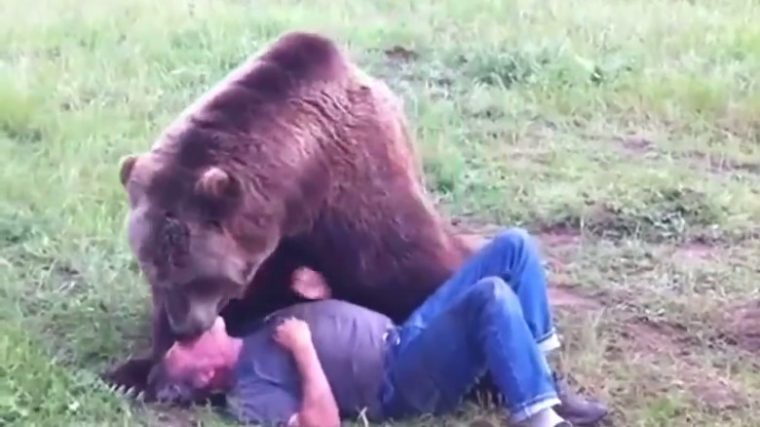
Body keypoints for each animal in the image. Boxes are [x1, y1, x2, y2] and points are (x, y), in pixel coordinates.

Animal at [107, 30, 476, 394]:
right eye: (153, 272)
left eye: (194, 275)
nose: (184, 329)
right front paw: (136, 369)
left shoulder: (362, 200)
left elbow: (412, 267)